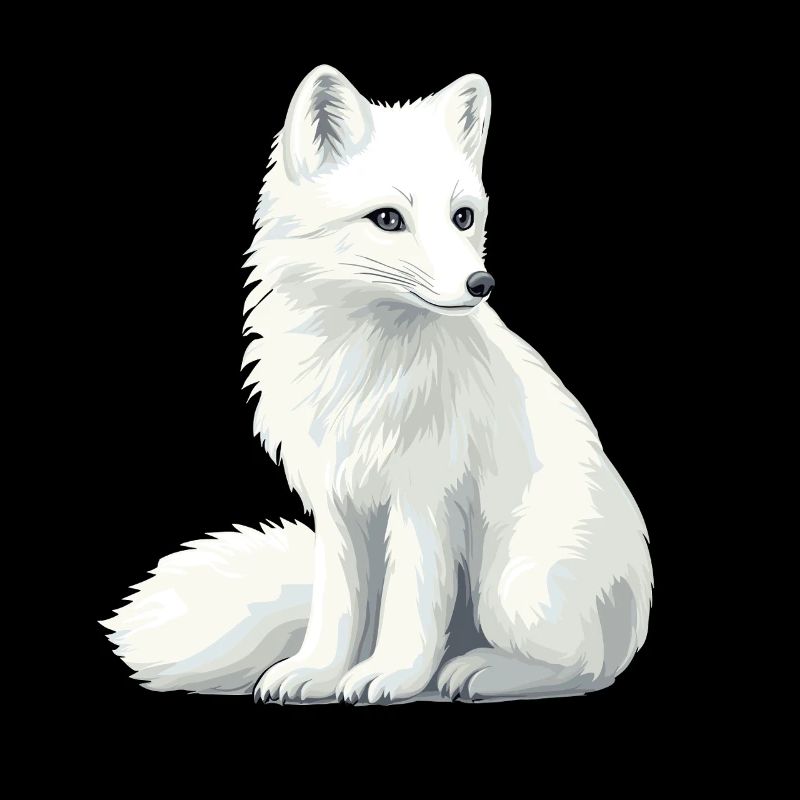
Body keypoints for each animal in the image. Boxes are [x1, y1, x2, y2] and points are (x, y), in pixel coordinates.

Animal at [103, 65, 653, 703]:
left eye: (463, 217)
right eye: (388, 218)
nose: (481, 283)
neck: (364, 362)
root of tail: (636, 611)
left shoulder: (425, 498)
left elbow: (411, 602)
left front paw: (390, 675)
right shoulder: (338, 501)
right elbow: (338, 606)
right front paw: (318, 672)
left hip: (515, 589)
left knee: (587, 667)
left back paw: (477, 671)